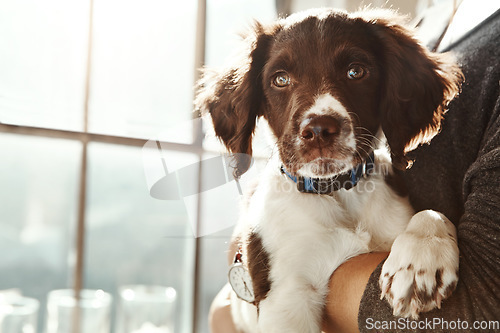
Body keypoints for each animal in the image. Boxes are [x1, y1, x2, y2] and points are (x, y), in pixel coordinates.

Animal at [194, 7, 460, 332]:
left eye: (356, 72)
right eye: (280, 79)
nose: (319, 130)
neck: (336, 190)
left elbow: (431, 213)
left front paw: (419, 264)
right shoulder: (286, 296)